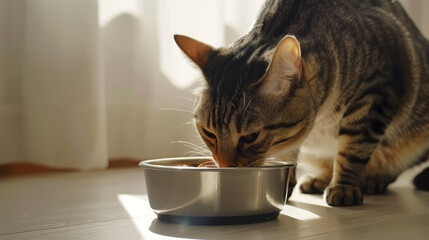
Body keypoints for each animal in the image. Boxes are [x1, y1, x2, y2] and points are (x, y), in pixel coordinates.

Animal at [173, 0, 428, 206]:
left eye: (250, 137)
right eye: (208, 133)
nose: (225, 165)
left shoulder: (375, 91)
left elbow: (353, 149)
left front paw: (344, 186)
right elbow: (289, 151)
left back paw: (372, 179)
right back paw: (319, 179)